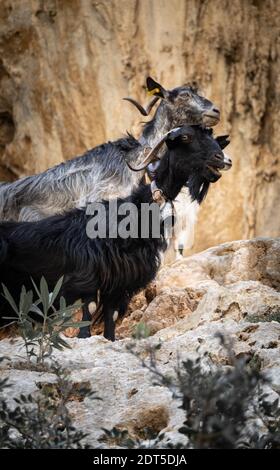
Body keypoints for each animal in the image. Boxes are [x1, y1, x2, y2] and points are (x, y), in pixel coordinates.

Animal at [0, 126, 229, 340]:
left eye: (212, 137)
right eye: (186, 137)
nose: (223, 159)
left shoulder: (118, 283)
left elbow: (112, 319)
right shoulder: (87, 276)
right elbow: (89, 313)